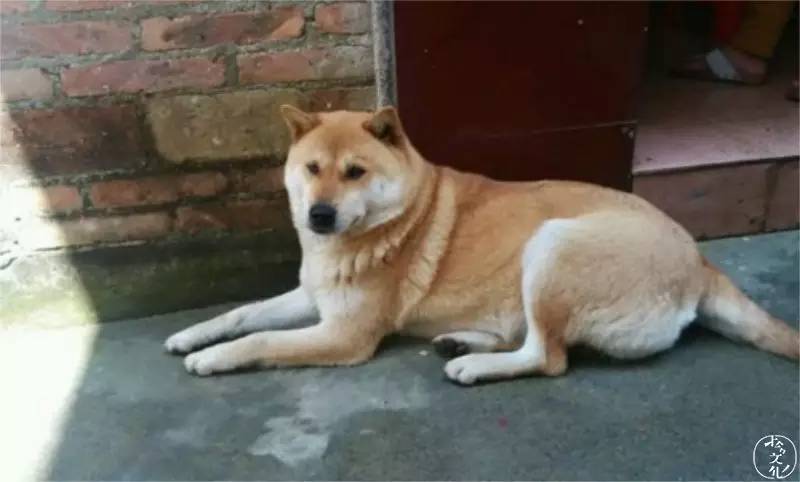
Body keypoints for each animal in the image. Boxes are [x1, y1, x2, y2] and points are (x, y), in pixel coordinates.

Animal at [165, 105, 799, 385]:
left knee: (548, 357)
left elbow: (262, 339)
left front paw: (213, 358)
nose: (319, 215)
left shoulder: (342, 334)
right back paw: (462, 340)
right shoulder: (311, 297)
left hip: (552, 245)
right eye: (312, 168)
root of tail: (699, 259)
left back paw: (473, 363)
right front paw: (192, 334)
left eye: (354, 173)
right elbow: (242, 313)